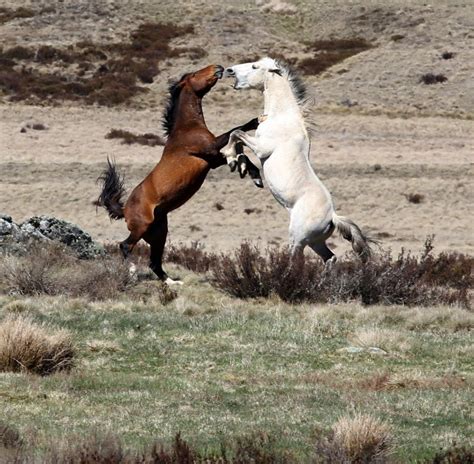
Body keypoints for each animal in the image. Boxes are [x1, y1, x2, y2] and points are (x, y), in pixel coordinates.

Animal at [95, 65, 262, 282]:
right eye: (194, 74)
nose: (218, 68)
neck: (186, 127)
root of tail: (124, 209)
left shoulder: (214, 159)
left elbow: (242, 154)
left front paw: (254, 175)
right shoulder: (211, 149)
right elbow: (235, 131)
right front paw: (256, 121)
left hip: (159, 234)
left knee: (154, 261)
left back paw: (172, 282)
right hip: (141, 227)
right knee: (125, 246)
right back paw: (132, 274)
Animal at [222, 56, 374, 262]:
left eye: (255, 66)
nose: (229, 70)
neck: (281, 116)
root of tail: (332, 217)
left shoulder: (262, 149)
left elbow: (236, 133)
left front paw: (230, 157)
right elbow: (239, 143)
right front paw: (244, 169)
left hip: (298, 240)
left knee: (296, 259)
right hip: (315, 242)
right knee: (331, 258)